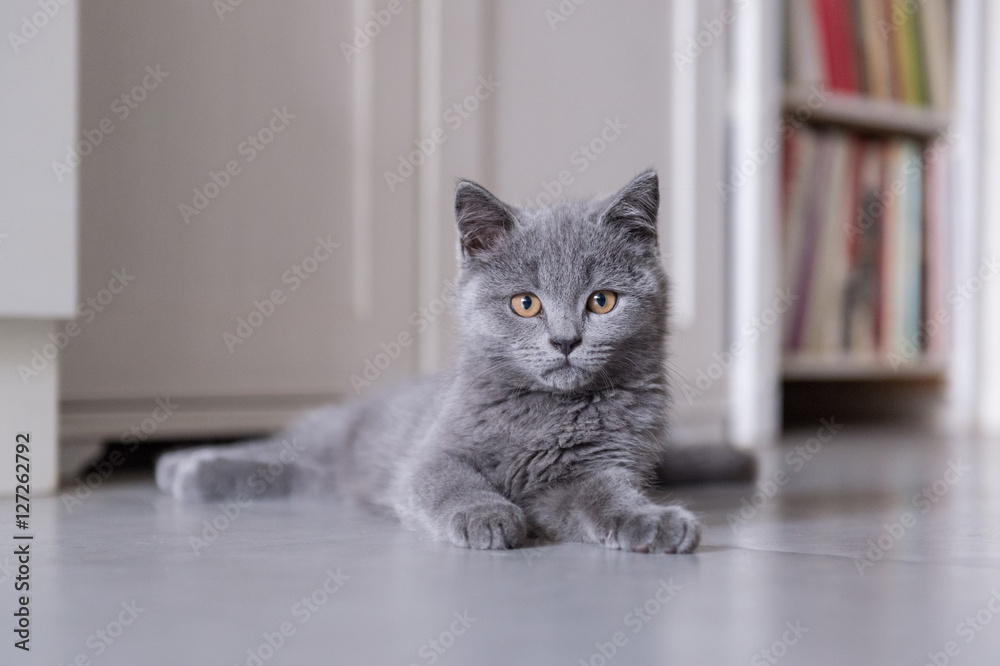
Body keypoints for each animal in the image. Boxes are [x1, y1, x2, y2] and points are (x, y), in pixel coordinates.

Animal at [158, 169, 704, 552]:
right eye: (526, 303)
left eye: (602, 301)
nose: (565, 341)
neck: (548, 412)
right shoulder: (429, 453)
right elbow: (448, 479)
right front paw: (487, 516)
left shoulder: (596, 467)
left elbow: (604, 497)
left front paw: (653, 522)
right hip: (341, 434)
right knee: (284, 444)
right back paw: (182, 464)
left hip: (333, 477)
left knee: (297, 473)